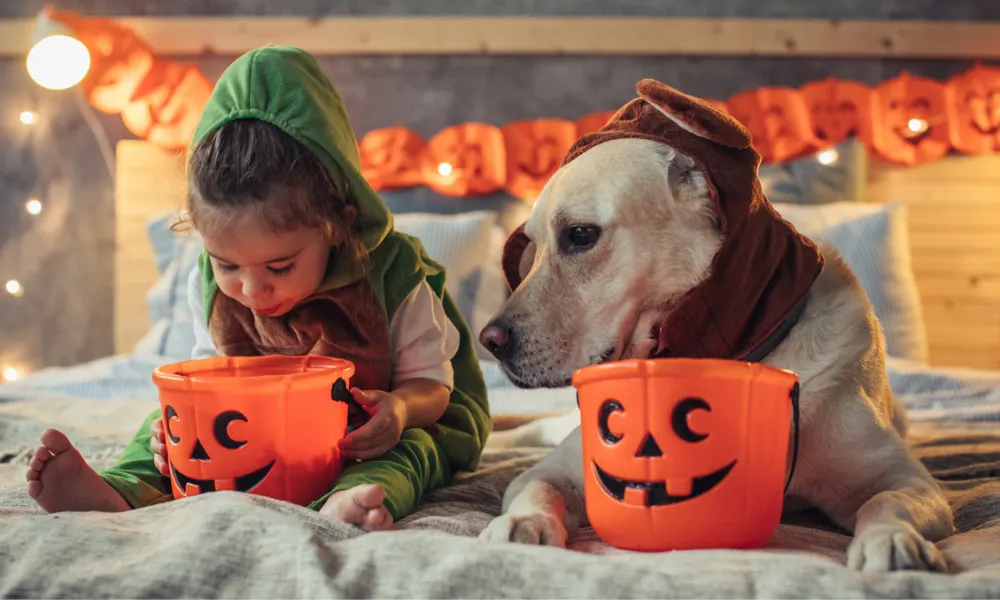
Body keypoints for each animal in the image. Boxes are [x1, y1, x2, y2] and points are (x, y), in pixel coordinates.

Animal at [476, 79, 952, 572]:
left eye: (581, 234)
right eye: (531, 247)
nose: (489, 341)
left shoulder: (911, 481)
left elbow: (886, 502)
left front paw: (893, 541)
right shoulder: (558, 469)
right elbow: (535, 486)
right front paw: (523, 524)